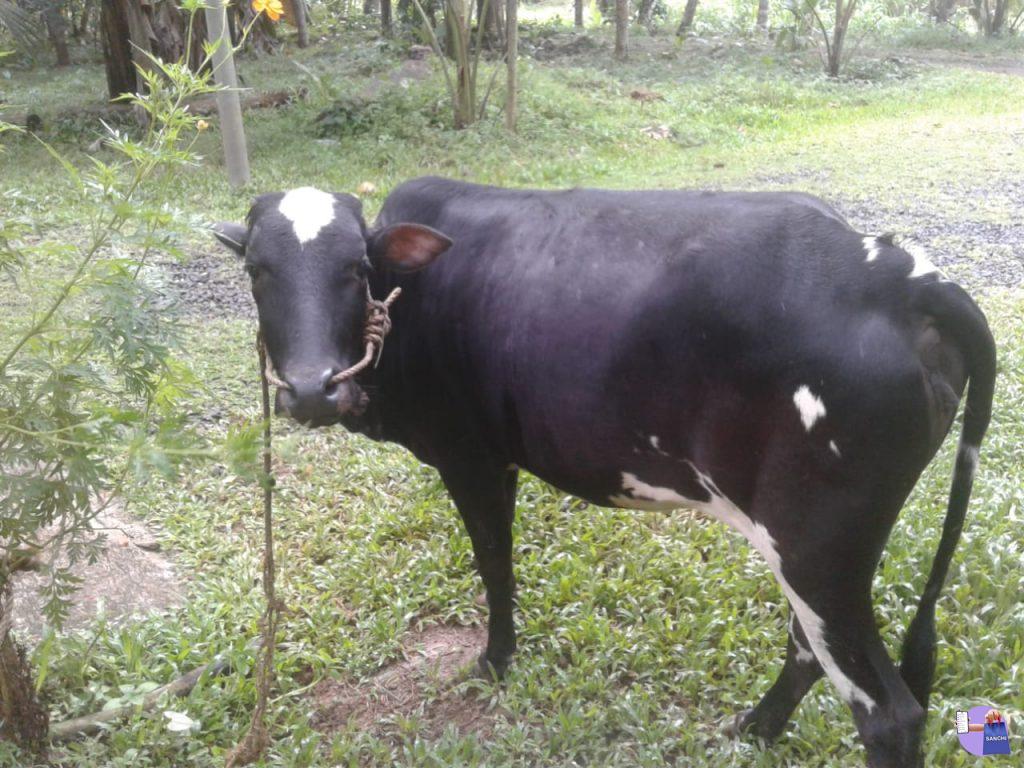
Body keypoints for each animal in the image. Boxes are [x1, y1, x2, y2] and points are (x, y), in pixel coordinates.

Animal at [213, 177, 995, 768]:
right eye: (257, 271)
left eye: (354, 269)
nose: (312, 390)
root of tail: (902, 278)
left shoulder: (469, 456)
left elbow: (494, 563)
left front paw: (494, 662)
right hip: (817, 547)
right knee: (809, 650)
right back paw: (753, 730)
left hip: (814, 547)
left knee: (886, 713)